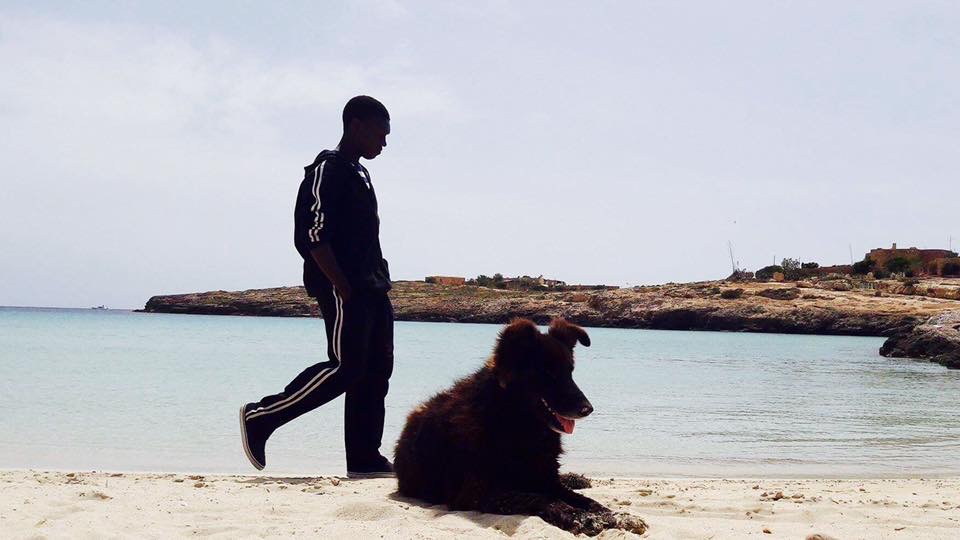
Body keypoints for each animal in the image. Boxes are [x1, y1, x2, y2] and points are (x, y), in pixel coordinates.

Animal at [394, 318, 647, 536]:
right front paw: (582, 519)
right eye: (548, 372)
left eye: (570, 371)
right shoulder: (477, 491)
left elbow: (586, 500)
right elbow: (542, 499)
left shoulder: (547, 480)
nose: (588, 409)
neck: (517, 425)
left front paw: (617, 515)